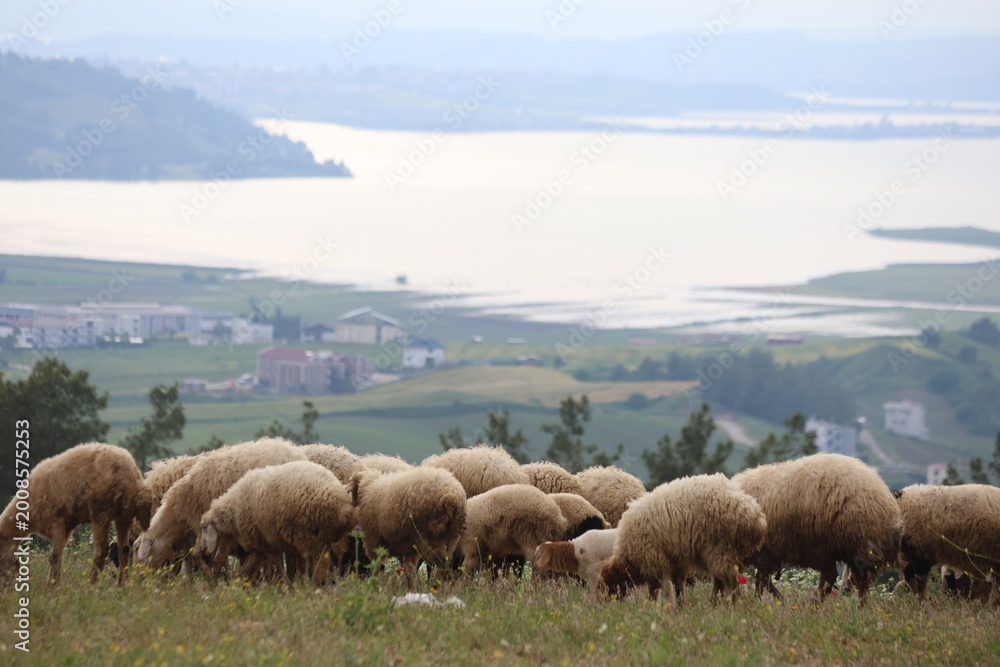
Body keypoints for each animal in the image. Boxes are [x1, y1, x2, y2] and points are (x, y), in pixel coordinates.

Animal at [0, 443, 154, 585]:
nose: (5, 584)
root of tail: (131, 476)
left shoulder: (56, 521)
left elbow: (54, 555)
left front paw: (52, 585)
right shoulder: (67, 527)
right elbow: (59, 554)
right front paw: (56, 581)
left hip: (100, 511)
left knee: (101, 551)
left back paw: (91, 584)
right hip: (124, 516)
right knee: (124, 549)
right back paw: (121, 585)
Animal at [192, 461, 355, 587]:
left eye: (203, 527)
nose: (198, 551)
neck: (234, 511)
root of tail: (342, 503)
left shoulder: (268, 543)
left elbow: (275, 568)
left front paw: (281, 587)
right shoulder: (270, 544)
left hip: (312, 540)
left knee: (320, 566)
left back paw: (316, 586)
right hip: (324, 539)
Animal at [599, 473, 765, 607]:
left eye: (608, 583)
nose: (605, 604)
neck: (629, 559)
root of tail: (756, 516)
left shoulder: (653, 562)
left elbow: (656, 591)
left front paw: (654, 609)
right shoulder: (677, 562)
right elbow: (678, 586)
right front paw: (679, 607)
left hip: (719, 549)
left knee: (731, 581)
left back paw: (730, 606)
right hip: (729, 554)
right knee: (722, 581)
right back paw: (714, 605)